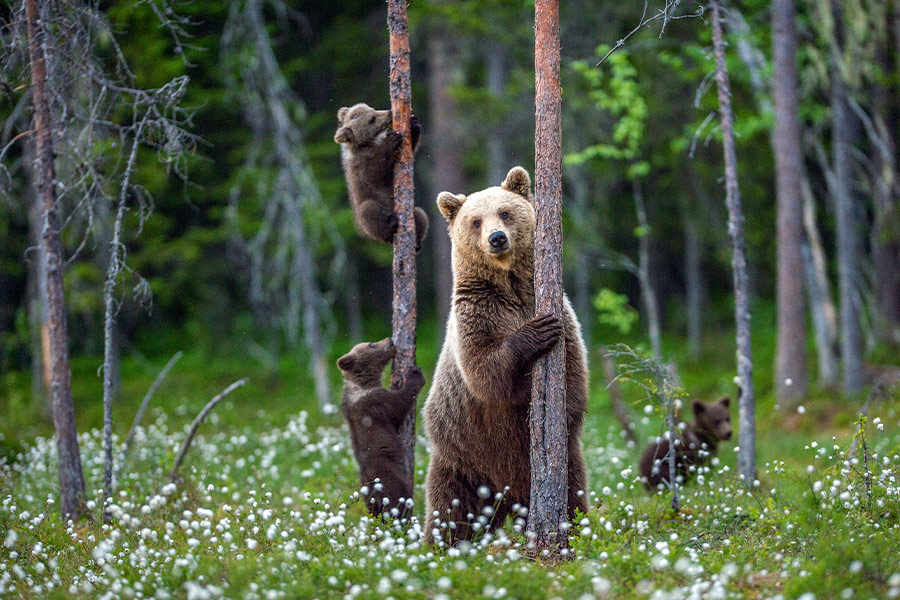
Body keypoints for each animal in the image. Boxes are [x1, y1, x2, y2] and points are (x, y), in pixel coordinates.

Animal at [334, 103, 429, 249]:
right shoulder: (360, 165)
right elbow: (375, 173)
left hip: (414, 212)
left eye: (372, 109)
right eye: (372, 119)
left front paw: (413, 125)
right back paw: (390, 226)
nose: (390, 112)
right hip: (367, 213)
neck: (367, 143)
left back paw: (417, 241)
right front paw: (391, 140)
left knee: (421, 214)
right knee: (368, 211)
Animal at [337, 338, 426, 518]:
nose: (390, 340)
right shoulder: (376, 404)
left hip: (367, 496)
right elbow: (399, 405)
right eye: (371, 344)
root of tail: (374, 491)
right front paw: (415, 374)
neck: (364, 383)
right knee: (398, 501)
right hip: (391, 480)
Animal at [422, 166, 589, 545]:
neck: (510, 285)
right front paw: (535, 333)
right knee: (450, 510)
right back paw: (439, 547)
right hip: (462, 458)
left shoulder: (560, 311)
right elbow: (485, 371)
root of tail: (508, 497)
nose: (497, 238)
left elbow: (573, 374)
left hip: (563, 464)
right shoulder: (477, 314)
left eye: (505, 212)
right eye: (475, 221)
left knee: (574, 492)